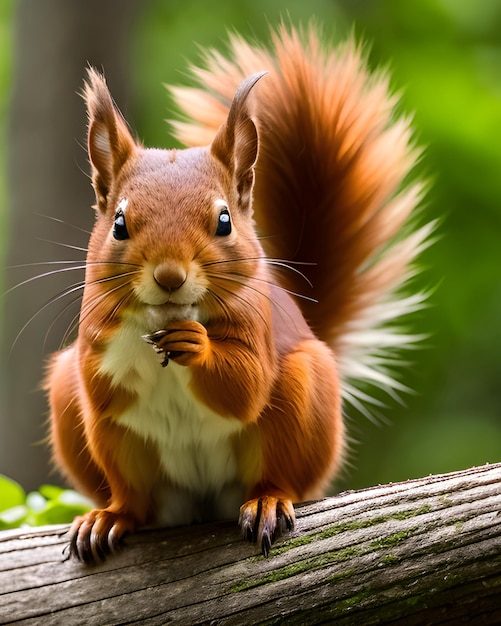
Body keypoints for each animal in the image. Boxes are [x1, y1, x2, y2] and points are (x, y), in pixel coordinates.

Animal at [46, 24, 430, 560]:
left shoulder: (256, 322)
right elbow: (101, 383)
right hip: (104, 438)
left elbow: (244, 385)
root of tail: (201, 502)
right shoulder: (93, 343)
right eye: (118, 224)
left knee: (277, 474)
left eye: (224, 220)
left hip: (303, 392)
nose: (169, 278)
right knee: (133, 499)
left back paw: (268, 500)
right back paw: (109, 516)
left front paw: (196, 344)